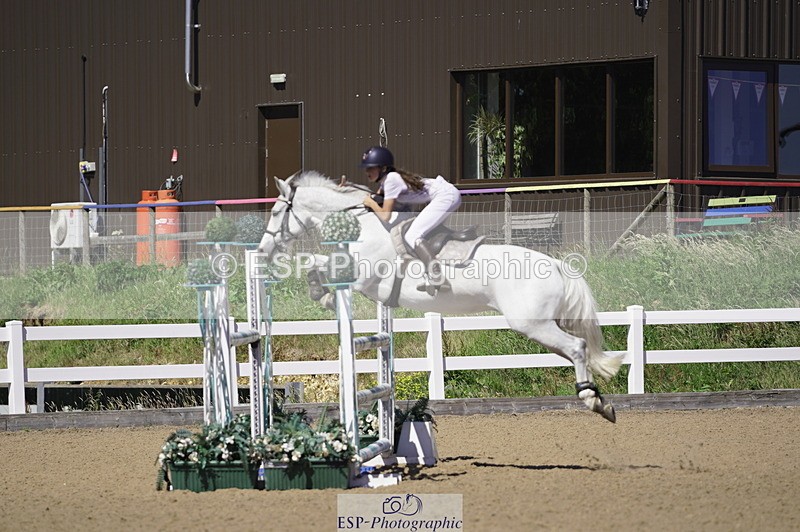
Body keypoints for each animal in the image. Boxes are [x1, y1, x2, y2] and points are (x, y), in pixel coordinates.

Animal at [258, 171, 623, 422]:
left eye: (276, 213)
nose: (262, 249)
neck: (364, 226)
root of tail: (558, 265)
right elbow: (316, 264)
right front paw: (321, 295)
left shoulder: (364, 275)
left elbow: (317, 265)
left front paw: (322, 295)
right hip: (540, 326)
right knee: (576, 350)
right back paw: (602, 401)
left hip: (531, 324)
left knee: (577, 347)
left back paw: (592, 401)